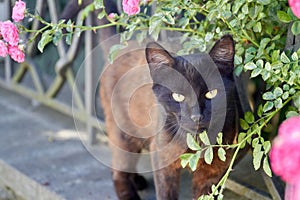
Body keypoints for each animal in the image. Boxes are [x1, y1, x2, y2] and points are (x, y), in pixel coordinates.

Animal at [101, 35, 241, 199]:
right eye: (178, 96)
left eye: (211, 93)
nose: (197, 116)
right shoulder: (162, 159)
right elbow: (165, 193)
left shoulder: (213, 171)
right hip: (125, 134)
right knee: (118, 170)